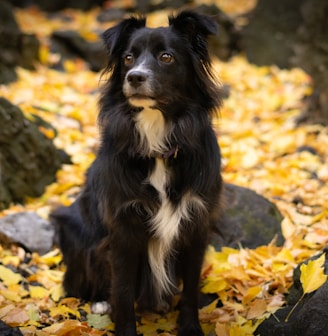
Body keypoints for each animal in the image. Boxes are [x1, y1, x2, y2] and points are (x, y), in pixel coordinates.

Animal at [50, 10, 223, 336]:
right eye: (128, 58)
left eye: (166, 57)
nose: (135, 77)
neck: (158, 143)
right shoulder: (123, 230)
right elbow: (123, 291)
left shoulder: (197, 224)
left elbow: (191, 289)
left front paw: (190, 327)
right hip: (72, 226)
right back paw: (99, 302)